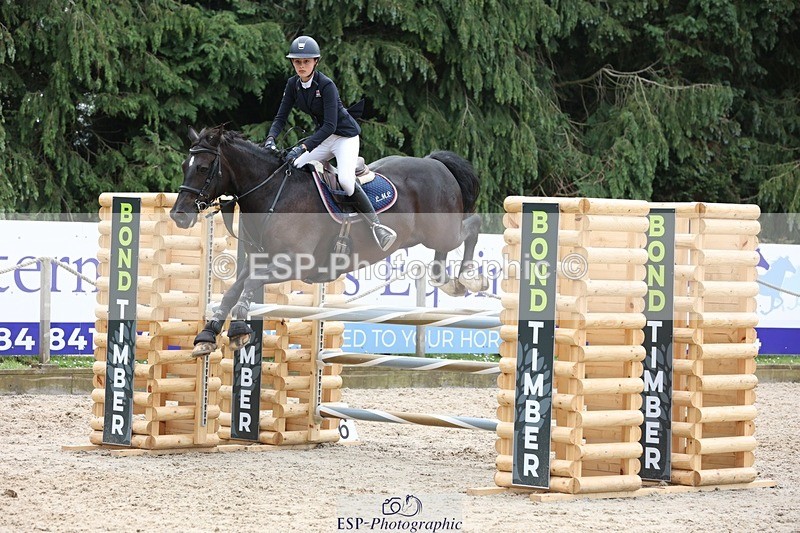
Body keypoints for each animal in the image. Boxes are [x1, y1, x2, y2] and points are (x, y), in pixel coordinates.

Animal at [170, 126, 489, 355]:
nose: (178, 215)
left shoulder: (294, 264)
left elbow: (248, 285)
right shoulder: (258, 260)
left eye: (202, 168)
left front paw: (237, 329)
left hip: (443, 229)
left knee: (473, 226)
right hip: (436, 234)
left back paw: (468, 279)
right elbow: (234, 289)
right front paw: (207, 335)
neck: (273, 191)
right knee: (445, 252)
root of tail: (435, 163)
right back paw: (446, 280)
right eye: (185, 164)